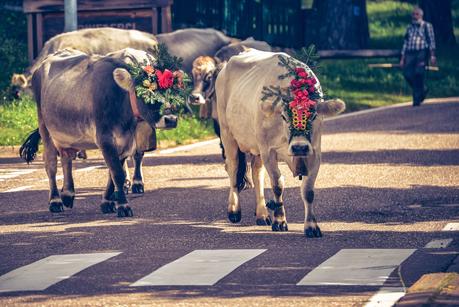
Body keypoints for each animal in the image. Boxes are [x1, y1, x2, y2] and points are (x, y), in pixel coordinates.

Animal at [21, 47, 180, 217]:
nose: (171, 119)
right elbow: (117, 173)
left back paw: (68, 194)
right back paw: (55, 201)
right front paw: (123, 206)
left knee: (66, 157)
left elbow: (114, 173)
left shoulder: (125, 142)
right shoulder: (105, 138)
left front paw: (107, 202)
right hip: (45, 128)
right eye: (148, 92)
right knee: (50, 164)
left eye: (171, 91)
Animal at [216, 50, 344, 238]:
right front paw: (279, 221)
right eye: (284, 116)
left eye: (314, 115)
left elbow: (308, 191)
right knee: (233, 168)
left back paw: (262, 214)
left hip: (256, 146)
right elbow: (277, 184)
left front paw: (311, 226)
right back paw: (234, 211)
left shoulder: (314, 152)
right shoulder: (269, 151)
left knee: (257, 172)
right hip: (228, 135)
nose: (299, 147)